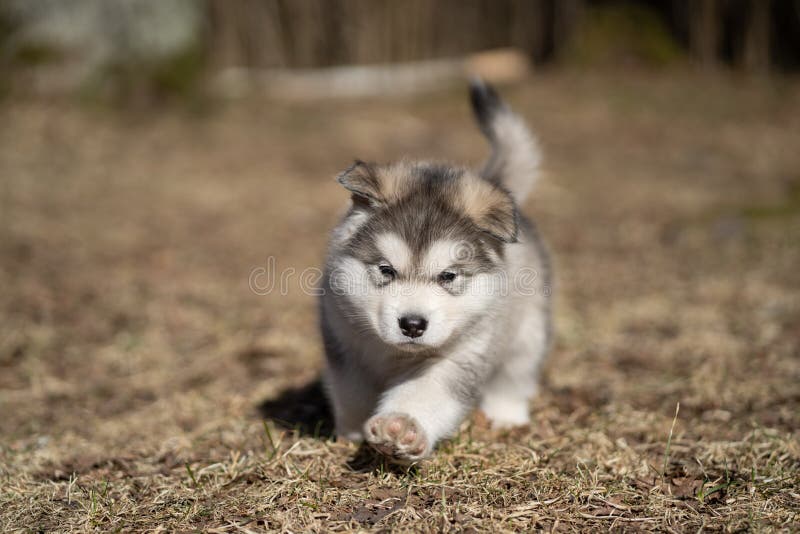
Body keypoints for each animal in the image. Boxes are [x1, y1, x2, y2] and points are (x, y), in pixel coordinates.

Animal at [318, 80, 552, 464]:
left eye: (448, 276)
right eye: (386, 270)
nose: (413, 325)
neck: (398, 354)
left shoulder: (461, 356)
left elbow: (425, 393)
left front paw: (400, 427)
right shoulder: (342, 341)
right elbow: (351, 392)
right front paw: (350, 434)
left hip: (526, 332)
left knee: (515, 375)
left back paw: (506, 416)